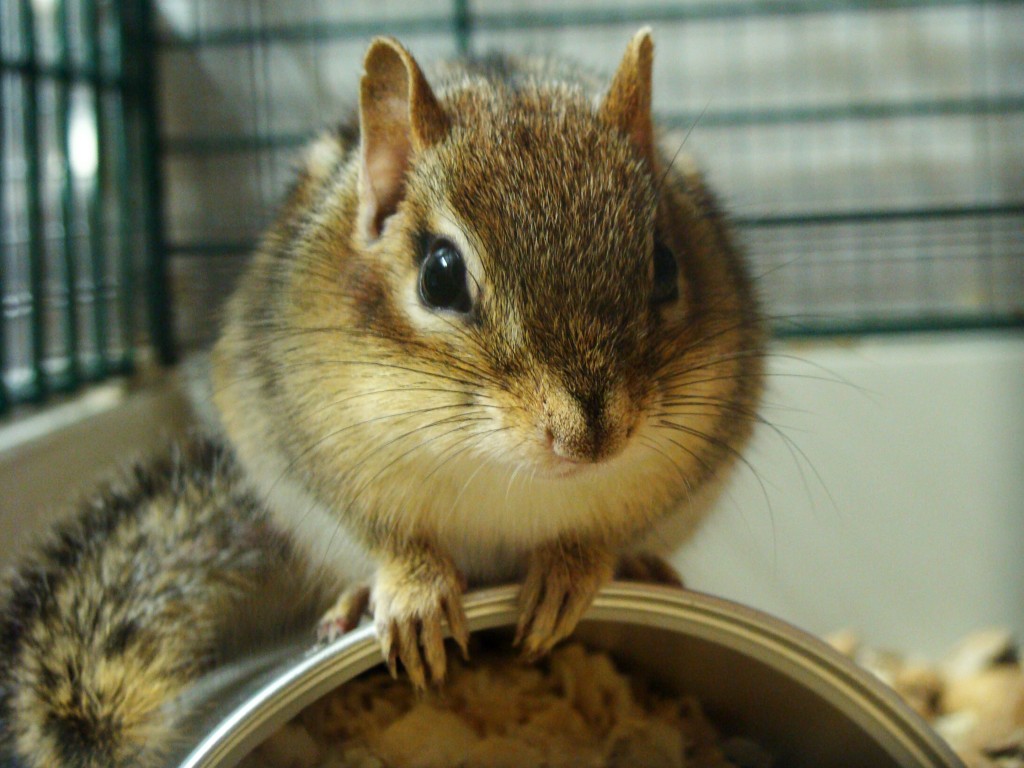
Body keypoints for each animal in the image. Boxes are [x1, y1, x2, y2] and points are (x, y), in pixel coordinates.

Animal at [0, 29, 764, 768]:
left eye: (665, 267)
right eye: (440, 275)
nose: (590, 438)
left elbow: (607, 528)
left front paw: (572, 570)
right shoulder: (311, 448)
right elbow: (383, 531)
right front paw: (413, 589)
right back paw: (353, 599)